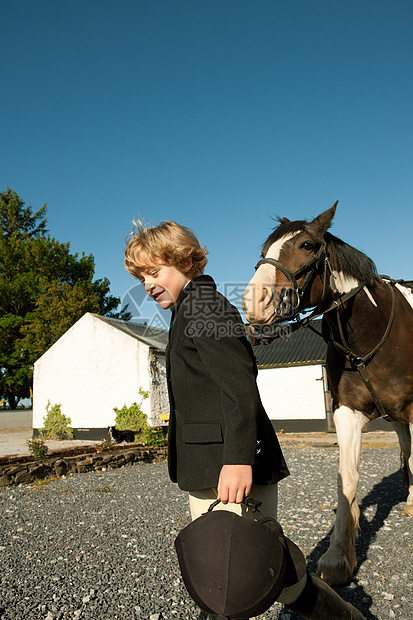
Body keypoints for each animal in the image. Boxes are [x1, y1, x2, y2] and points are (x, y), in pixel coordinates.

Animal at [241, 203, 412, 588]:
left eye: (307, 245)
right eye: (264, 251)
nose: (254, 302)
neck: (370, 335)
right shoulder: (347, 413)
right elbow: (346, 479)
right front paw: (338, 558)